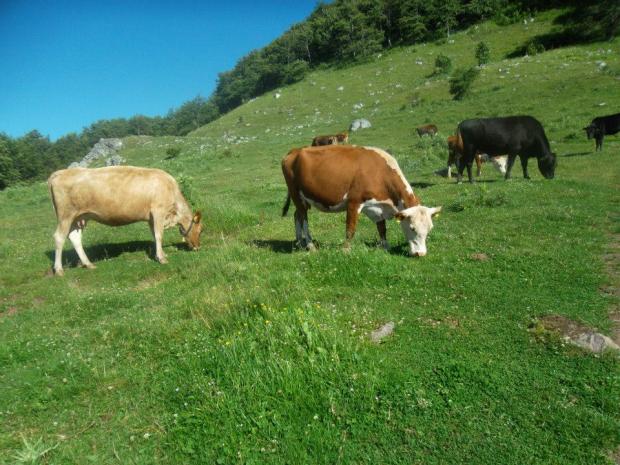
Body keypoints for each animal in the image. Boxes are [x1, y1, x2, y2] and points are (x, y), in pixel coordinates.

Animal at [49, 166, 203, 276]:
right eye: (201, 230)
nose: (197, 247)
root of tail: (60, 173)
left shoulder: (151, 217)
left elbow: (154, 235)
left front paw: (161, 254)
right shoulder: (158, 211)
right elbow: (159, 235)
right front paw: (162, 258)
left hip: (79, 217)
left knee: (75, 237)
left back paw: (88, 264)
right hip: (66, 215)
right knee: (59, 237)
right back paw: (59, 270)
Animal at [280, 145, 440, 256]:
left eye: (430, 228)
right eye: (412, 228)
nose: (420, 254)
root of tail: (295, 151)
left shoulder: (377, 206)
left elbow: (382, 228)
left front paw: (385, 246)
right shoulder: (354, 202)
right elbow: (350, 229)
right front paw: (345, 250)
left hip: (303, 198)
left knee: (297, 215)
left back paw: (299, 242)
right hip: (296, 194)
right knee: (303, 218)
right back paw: (310, 245)